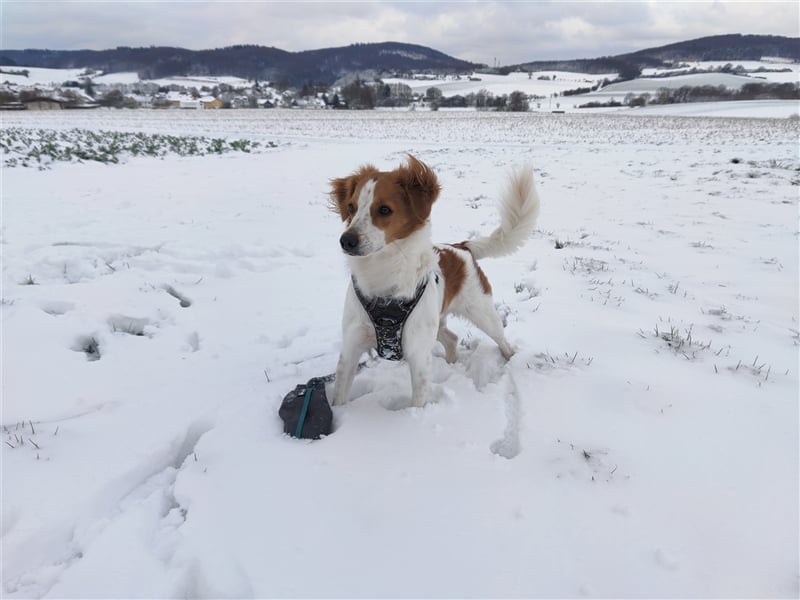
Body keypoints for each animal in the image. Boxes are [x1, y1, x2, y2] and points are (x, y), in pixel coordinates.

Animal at [328, 155, 540, 408]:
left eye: (384, 209)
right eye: (351, 207)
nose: (346, 240)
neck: (383, 276)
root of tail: (462, 247)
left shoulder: (419, 355)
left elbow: (418, 401)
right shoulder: (350, 350)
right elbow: (338, 400)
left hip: (483, 314)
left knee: (501, 340)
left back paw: (509, 359)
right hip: (436, 322)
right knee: (451, 338)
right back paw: (451, 363)